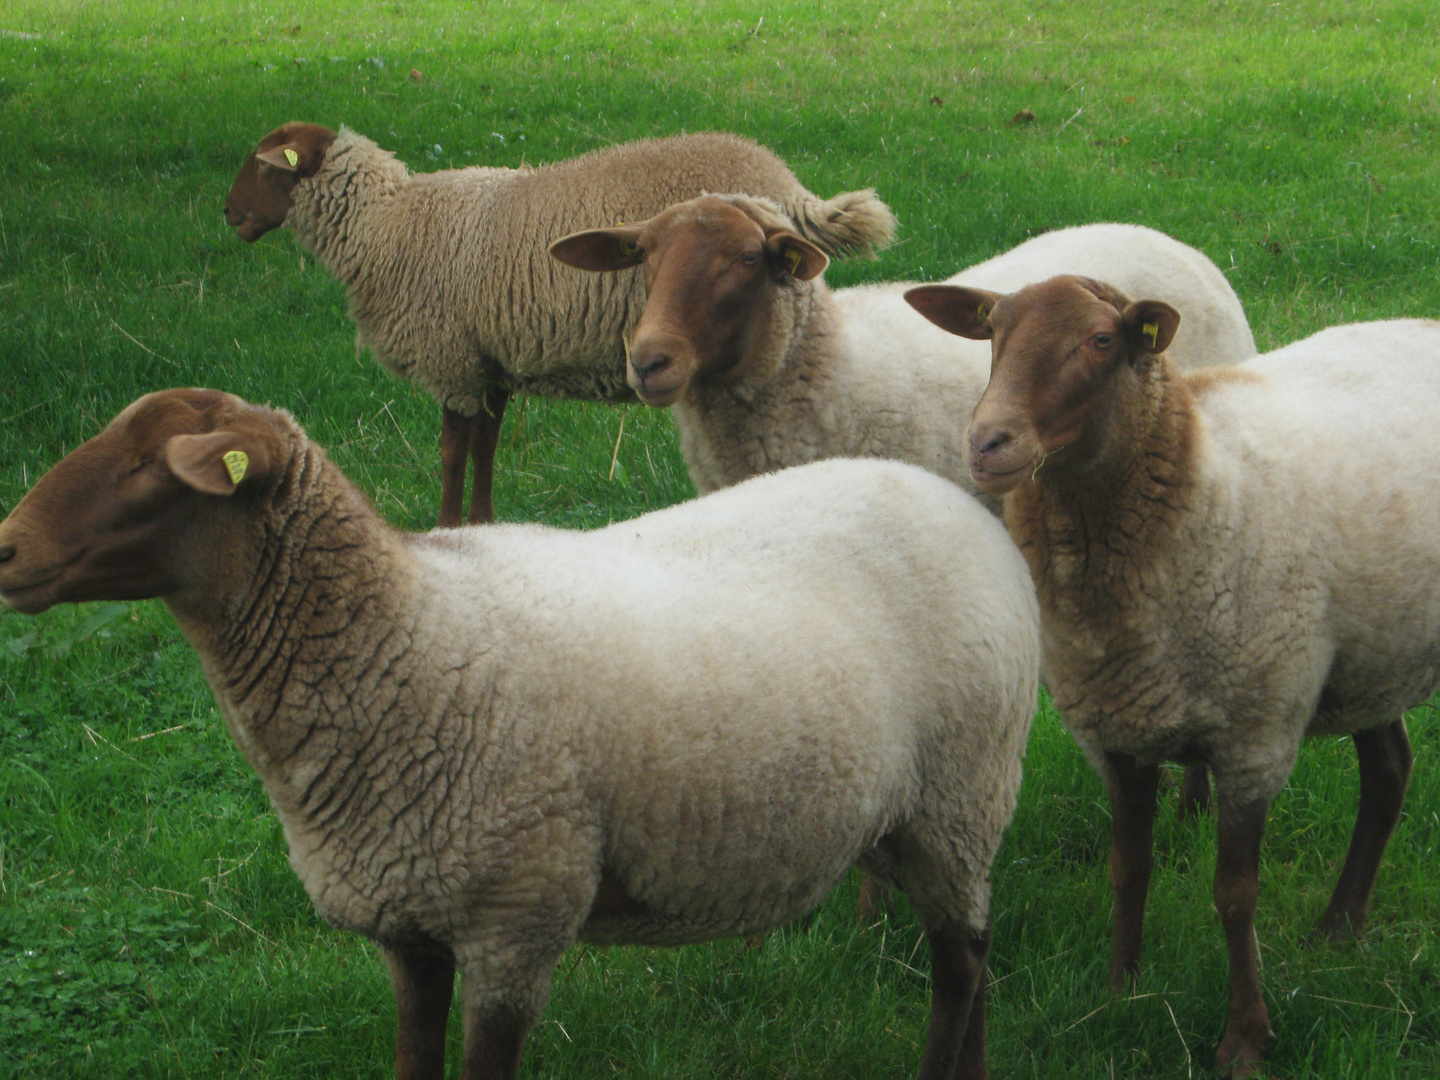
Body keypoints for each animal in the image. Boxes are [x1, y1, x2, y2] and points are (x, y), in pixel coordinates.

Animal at [0, 388, 1042, 1080]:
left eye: (153, 466)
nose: (6, 547)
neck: (405, 641)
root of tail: (950, 498)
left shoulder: (517, 919)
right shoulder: (411, 924)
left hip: (962, 793)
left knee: (959, 970)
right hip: (915, 819)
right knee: (982, 961)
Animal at [221, 123, 898, 529]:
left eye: (264, 165)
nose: (227, 213)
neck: (385, 223)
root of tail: (791, 189)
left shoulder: (452, 363)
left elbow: (450, 453)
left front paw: (446, 527)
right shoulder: (489, 363)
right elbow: (486, 448)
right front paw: (483, 524)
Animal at [904, 272, 1440, 1080]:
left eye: (1101, 340)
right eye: (992, 330)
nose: (987, 442)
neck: (1198, 491)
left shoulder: (1256, 735)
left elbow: (1235, 894)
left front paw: (1244, 1037)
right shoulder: (1114, 729)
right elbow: (1129, 866)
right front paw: (1120, 989)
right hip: (1372, 650)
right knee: (1389, 770)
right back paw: (1340, 926)